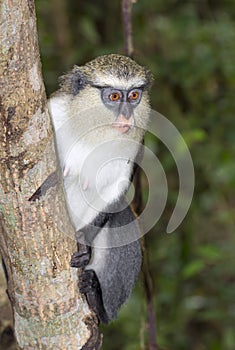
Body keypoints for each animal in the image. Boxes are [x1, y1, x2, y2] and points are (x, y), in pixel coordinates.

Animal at [48, 54, 153, 326]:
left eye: (134, 95)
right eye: (114, 96)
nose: (127, 116)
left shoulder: (135, 140)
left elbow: (117, 188)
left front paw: (84, 243)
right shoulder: (54, 112)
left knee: (123, 220)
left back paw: (99, 303)